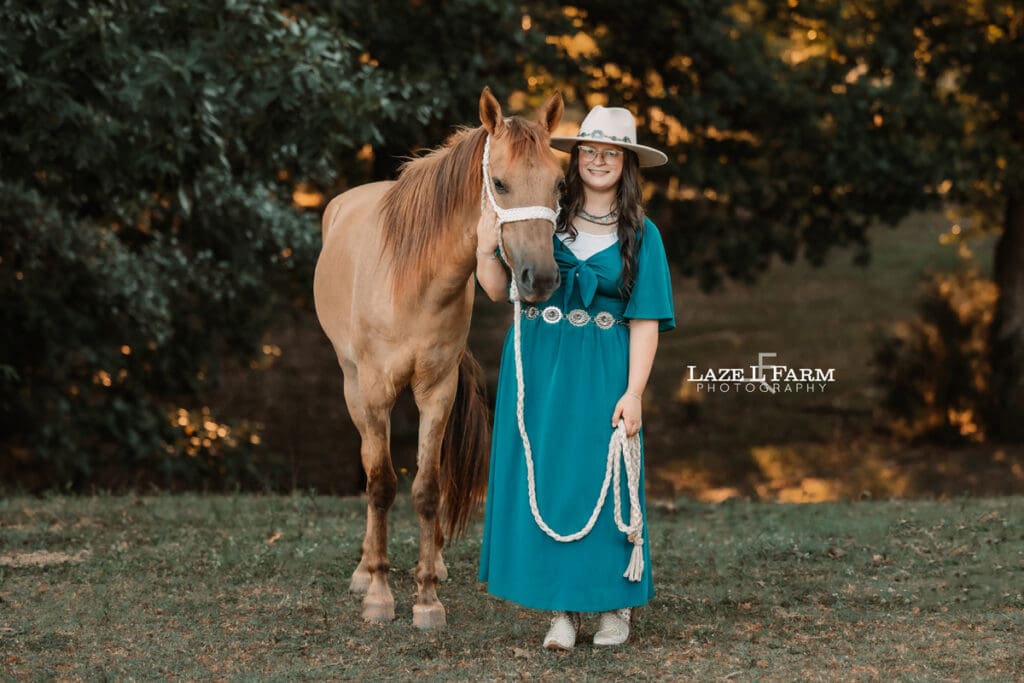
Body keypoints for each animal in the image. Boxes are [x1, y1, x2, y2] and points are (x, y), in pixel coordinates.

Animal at [313, 87, 565, 629]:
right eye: (499, 183)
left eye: (559, 183)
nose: (540, 279)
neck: (414, 280)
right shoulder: (376, 392)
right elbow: (381, 484)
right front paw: (380, 594)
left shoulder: (438, 390)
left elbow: (427, 488)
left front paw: (427, 598)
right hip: (352, 386)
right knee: (369, 465)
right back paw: (365, 569)